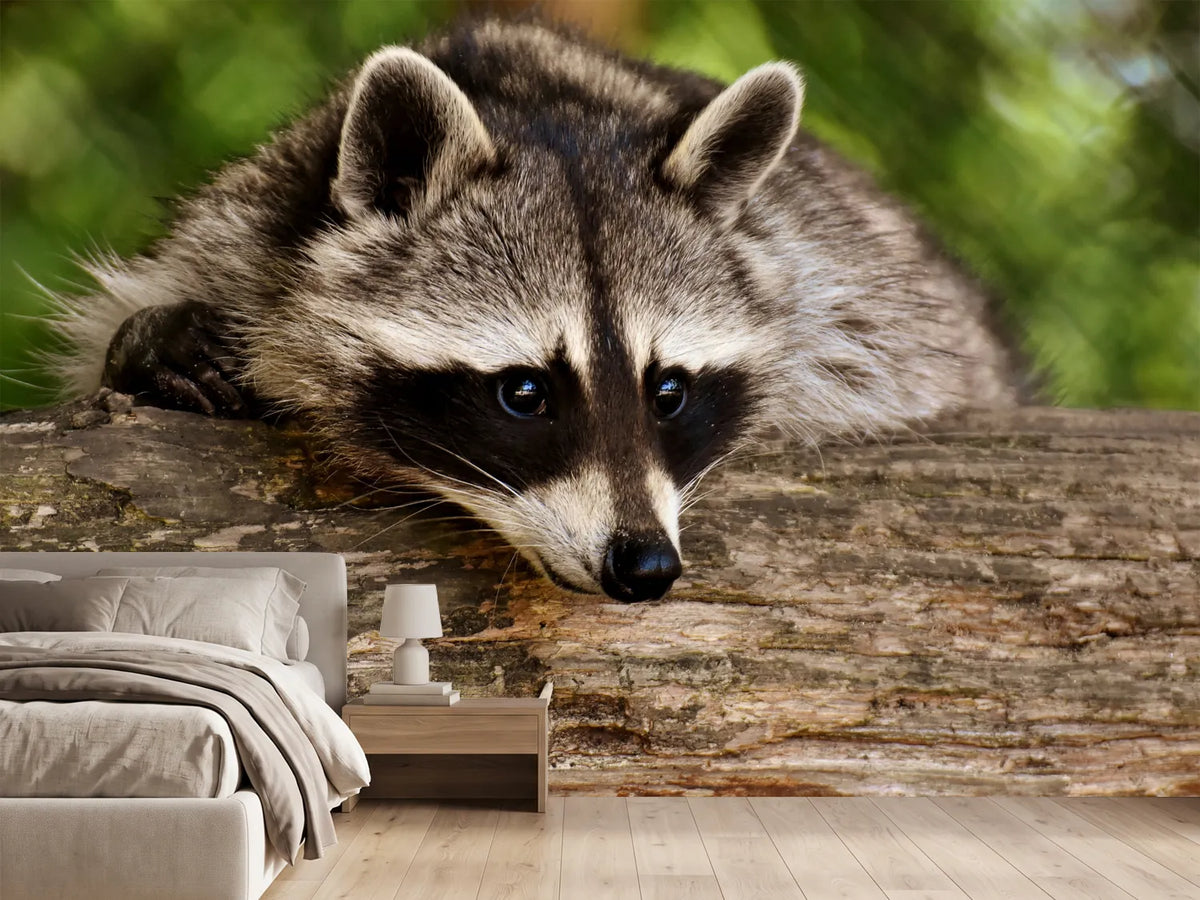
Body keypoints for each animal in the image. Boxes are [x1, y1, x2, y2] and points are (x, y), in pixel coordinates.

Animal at [52, 19, 1020, 602]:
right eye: (524, 393)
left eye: (669, 391)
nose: (645, 566)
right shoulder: (240, 226)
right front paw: (153, 345)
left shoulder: (843, 289)